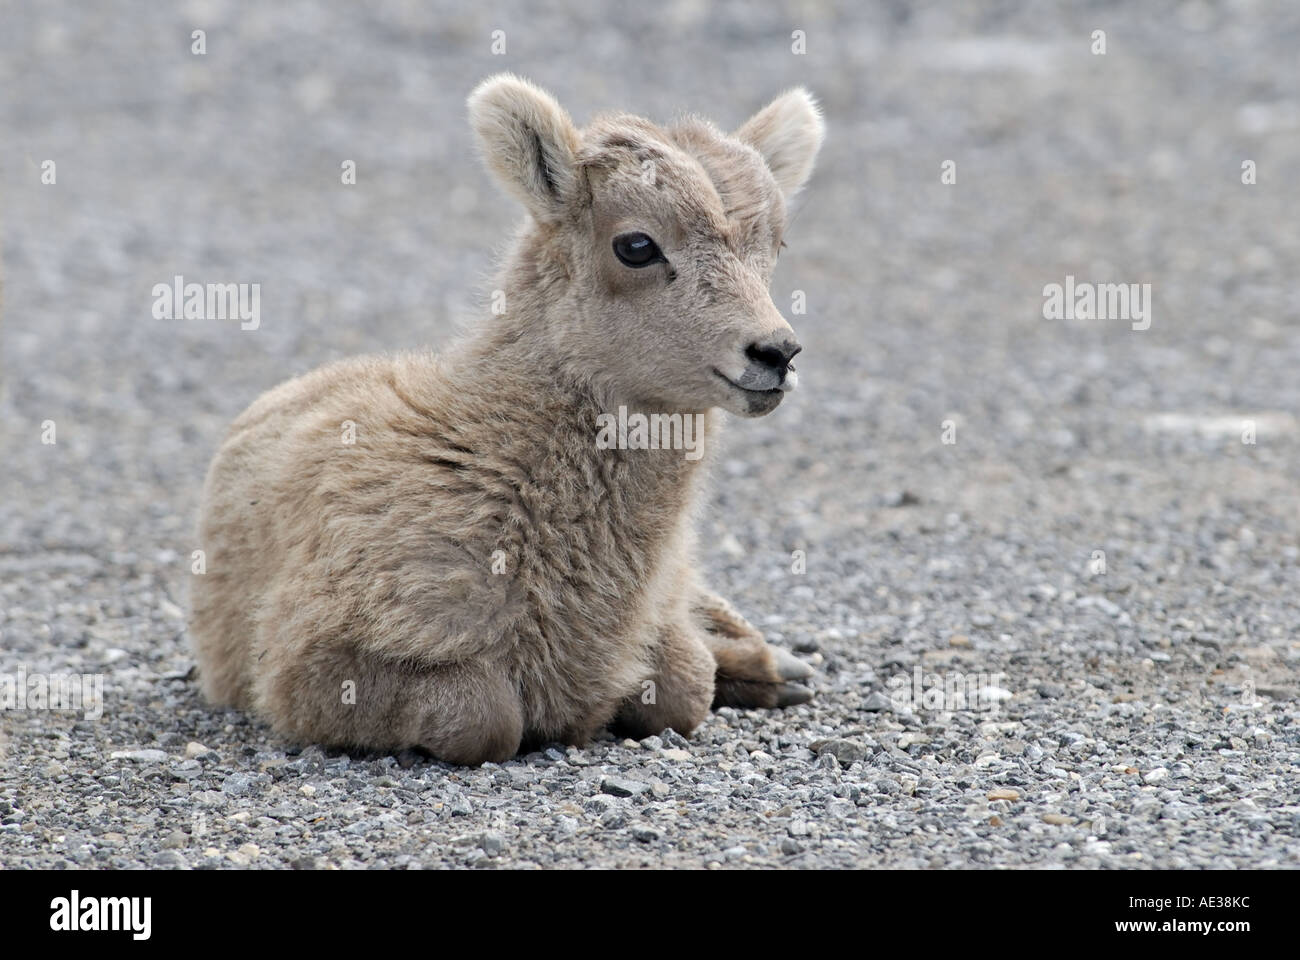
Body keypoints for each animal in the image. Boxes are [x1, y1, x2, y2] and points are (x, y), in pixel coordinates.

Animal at [189, 74, 821, 764]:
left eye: (776, 244)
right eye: (635, 246)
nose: (776, 353)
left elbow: (685, 685)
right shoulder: (310, 667)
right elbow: (486, 716)